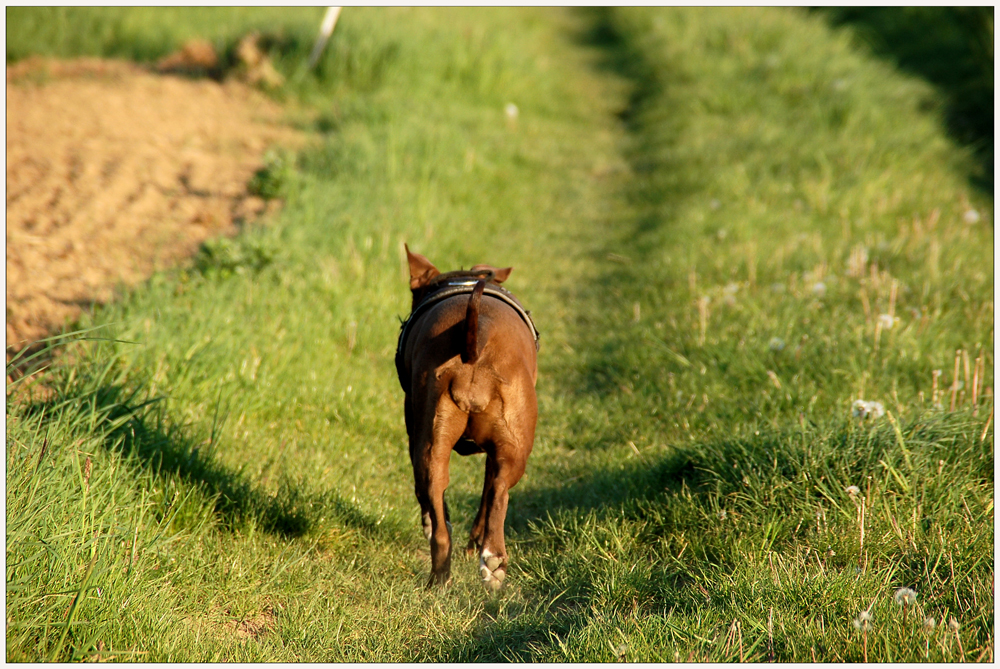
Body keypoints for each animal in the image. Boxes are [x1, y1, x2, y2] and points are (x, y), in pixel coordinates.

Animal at [396, 245, 540, 588]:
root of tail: (476, 342)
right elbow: (486, 497)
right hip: (507, 449)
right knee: (497, 492)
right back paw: (489, 560)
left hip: (432, 444)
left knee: (440, 512)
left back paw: (443, 575)